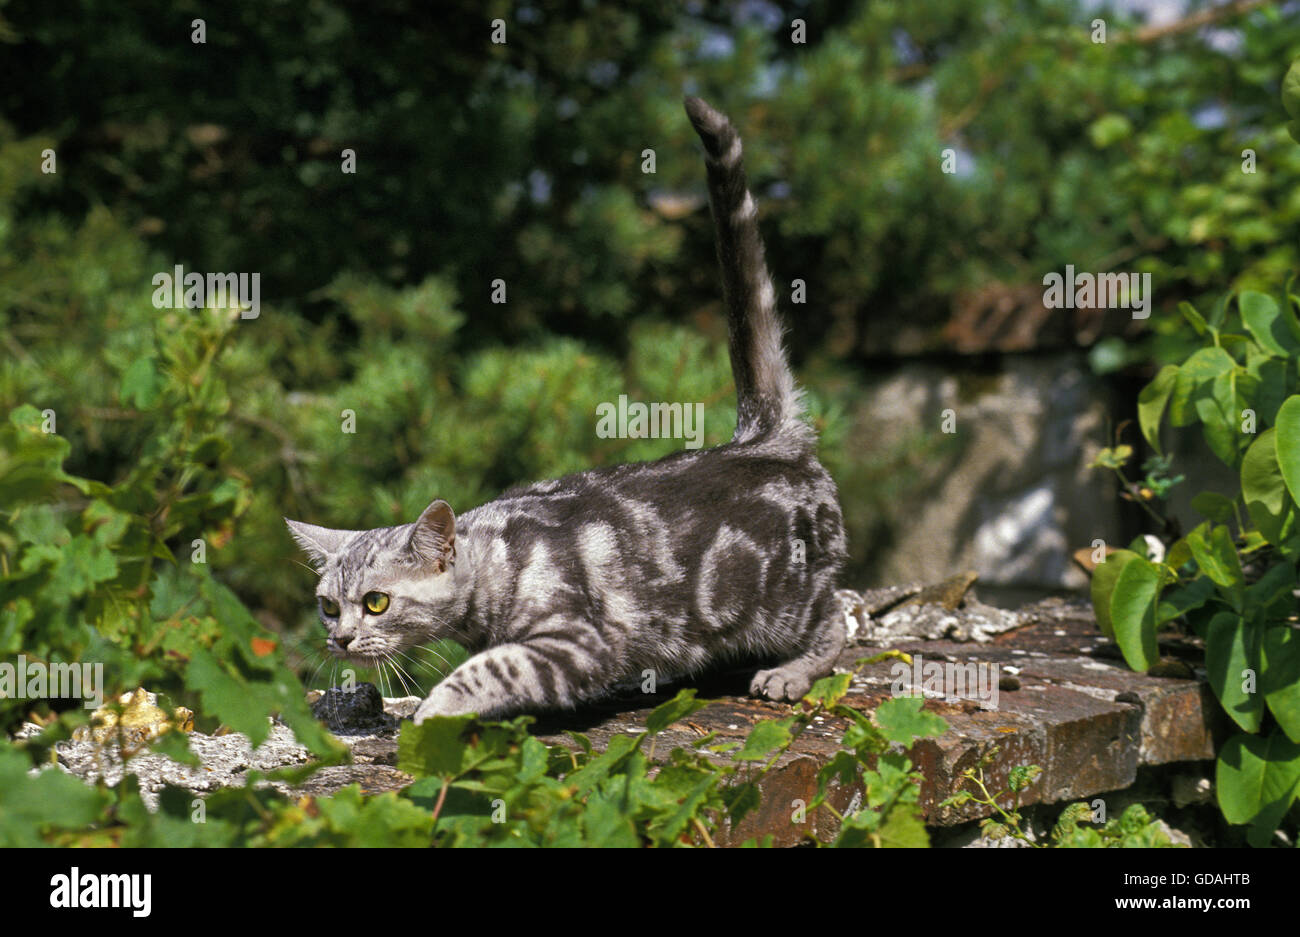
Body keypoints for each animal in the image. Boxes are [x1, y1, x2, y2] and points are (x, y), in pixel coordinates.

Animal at [288, 96, 847, 722]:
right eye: (328, 606)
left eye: (377, 602)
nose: (339, 639)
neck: (497, 562)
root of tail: (768, 436)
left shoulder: (578, 641)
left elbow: (487, 668)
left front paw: (431, 711)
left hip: (786, 601)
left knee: (837, 619)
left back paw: (789, 673)